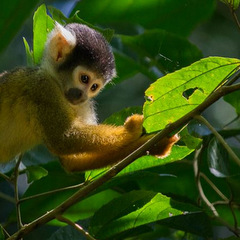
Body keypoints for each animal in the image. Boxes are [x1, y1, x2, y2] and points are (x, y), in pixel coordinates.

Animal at [0, 22, 177, 172]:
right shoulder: (42, 87)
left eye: (94, 87)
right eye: (84, 78)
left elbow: (73, 162)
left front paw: (156, 145)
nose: (81, 95)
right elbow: (63, 139)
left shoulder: (82, 105)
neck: (57, 84)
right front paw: (131, 130)